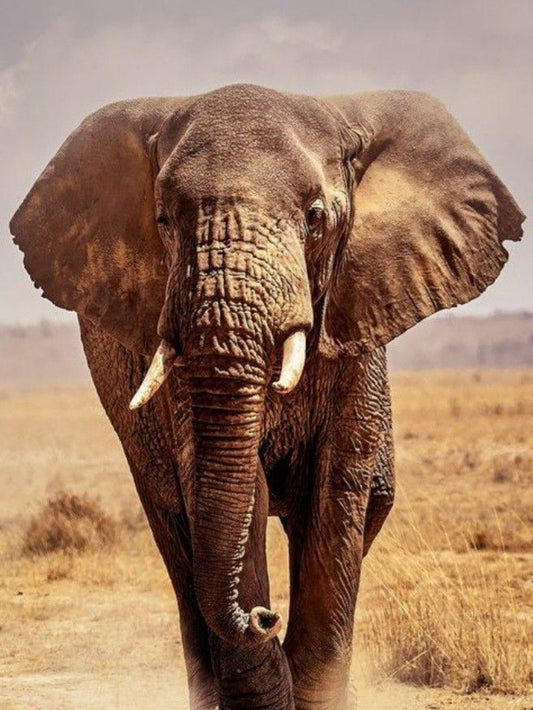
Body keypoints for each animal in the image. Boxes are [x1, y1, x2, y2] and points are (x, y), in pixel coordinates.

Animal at [10, 84, 524, 709]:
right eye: (163, 220)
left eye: (315, 218)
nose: (262, 616)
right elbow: (228, 485)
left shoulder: (355, 327)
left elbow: (336, 491)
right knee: (177, 540)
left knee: (365, 507)